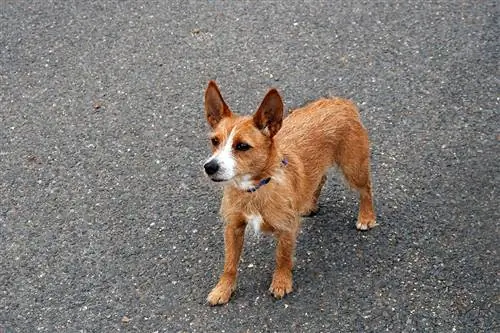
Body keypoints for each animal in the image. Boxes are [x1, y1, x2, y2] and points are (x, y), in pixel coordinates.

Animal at [202, 80, 376, 304]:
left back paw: (366, 216)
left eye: (242, 146)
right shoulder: (233, 227)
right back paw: (309, 204)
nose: (209, 167)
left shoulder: (286, 228)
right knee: (320, 178)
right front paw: (223, 288)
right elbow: (230, 262)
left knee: (366, 189)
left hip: (354, 168)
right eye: (215, 141)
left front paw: (281, 282)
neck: (255, 189)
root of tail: (339, 101)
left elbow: (282, 257)